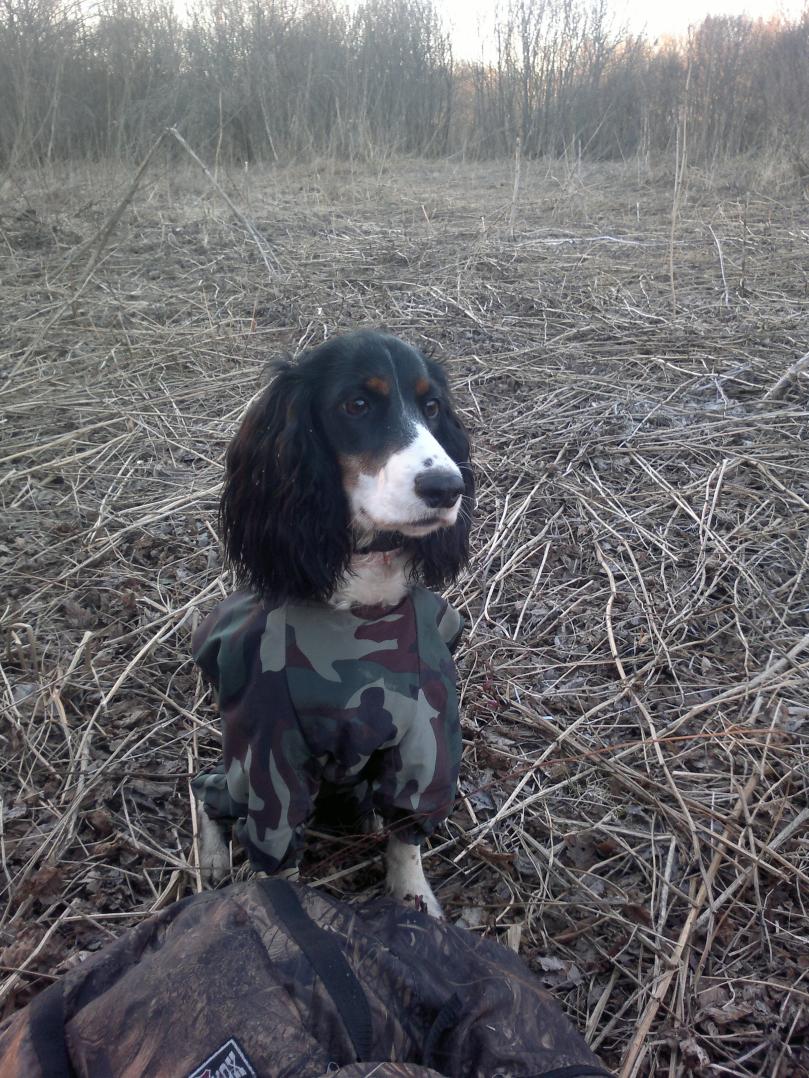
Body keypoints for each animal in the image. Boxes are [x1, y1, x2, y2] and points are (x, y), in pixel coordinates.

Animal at [192, 330, 474, 917]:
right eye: (358, 404)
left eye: (432, 406)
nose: (447, 486)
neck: (360, 610)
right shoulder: (270, 760)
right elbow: (279, 849)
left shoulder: (426, 740)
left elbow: (407, 833)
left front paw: (415, 899)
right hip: (237, 777)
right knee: (207, 790)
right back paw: (212, 860)